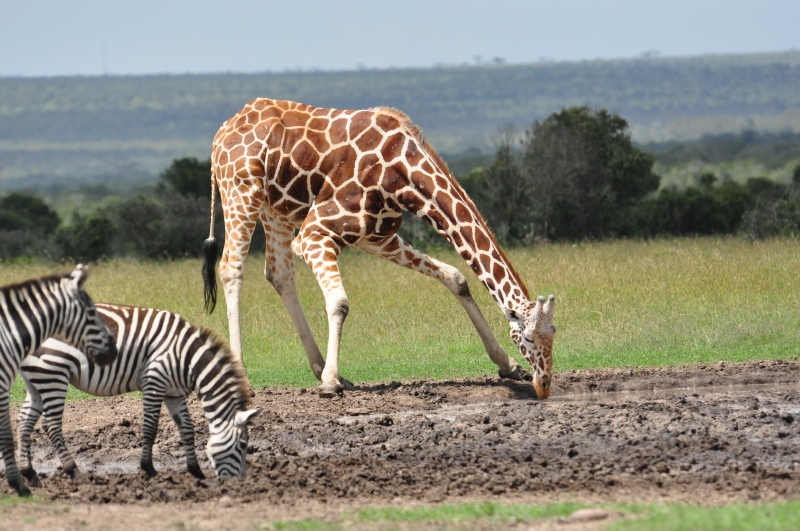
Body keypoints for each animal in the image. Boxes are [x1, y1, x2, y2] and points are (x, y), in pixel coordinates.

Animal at [17, 303, 259, 486]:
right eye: (242, 445)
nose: (239, 484)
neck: (188, 360)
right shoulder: (154, 381)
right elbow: (150, 428)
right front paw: (149, 469)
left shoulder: (174, 394)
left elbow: (187, 430)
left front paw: (196, 471)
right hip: (54, 373)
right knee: (51, 425)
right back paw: (73, 471)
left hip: (37, 380)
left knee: (24, 421)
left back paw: (30, 474)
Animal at [202, 99, 556, 399]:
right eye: (527, 338)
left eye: (554, 333)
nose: (543, 385)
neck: (401, 172)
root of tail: (219, 134)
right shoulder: (315, 232)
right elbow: (340, 303)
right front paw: (330, 381)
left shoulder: (376, 237)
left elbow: (455, 277)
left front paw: (508, 365)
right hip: (240, 194)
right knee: (231, 269)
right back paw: (247, 377)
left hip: (276, 211)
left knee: (279, 274)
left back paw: (318, 366)